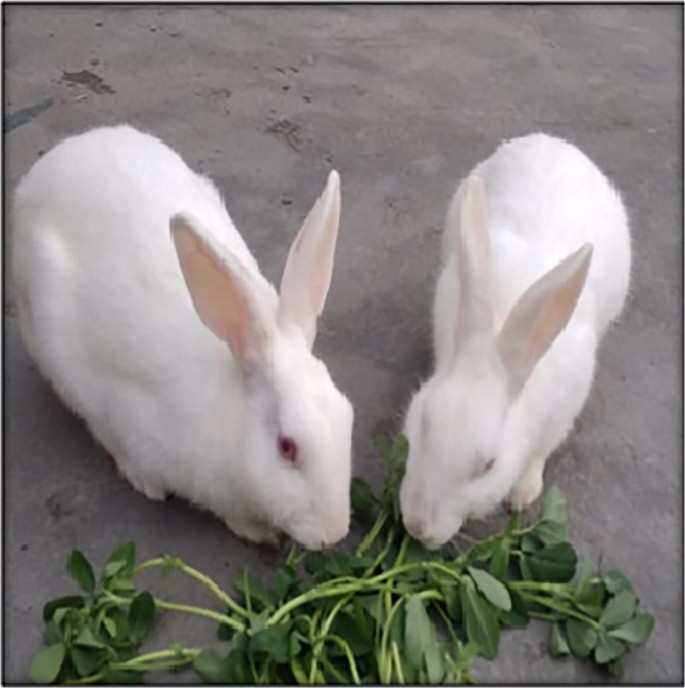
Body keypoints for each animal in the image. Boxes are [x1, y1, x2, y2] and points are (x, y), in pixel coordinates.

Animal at [400, 133, 631, 548]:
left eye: (488, 466)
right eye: (423, 423)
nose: (417, 526)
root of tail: (553, 141)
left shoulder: (562, 411)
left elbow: (539, 454)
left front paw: (522, 494)